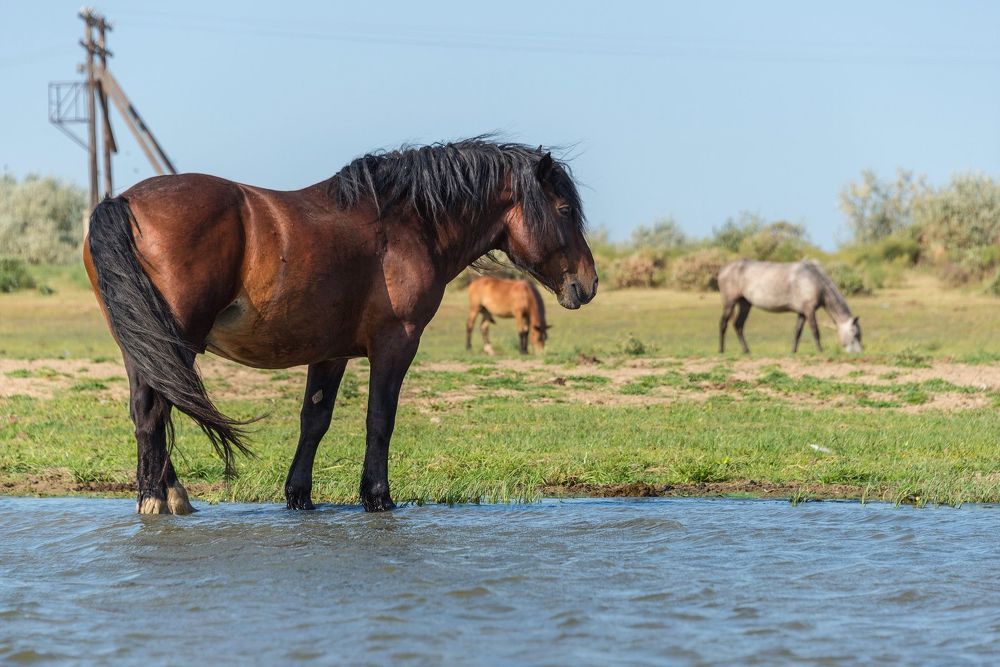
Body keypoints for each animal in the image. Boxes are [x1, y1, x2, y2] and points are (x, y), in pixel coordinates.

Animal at [83, 138, 598, 514]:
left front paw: (299, 496)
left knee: (149, 409)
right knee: (155, 412)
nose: (588, 284)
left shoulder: (329, 353)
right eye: (565, 211)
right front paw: (378, 497)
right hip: (175, 340)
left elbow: (315, 421)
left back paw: (172, 495)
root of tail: (122, 202)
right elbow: (380, 419)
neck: (407, 224)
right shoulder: (396, 343)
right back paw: (154, 499)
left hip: (145, 344)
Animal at [717, 259, 862, 354]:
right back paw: (721, 350)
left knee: (738, 325)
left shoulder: (802, 313)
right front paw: (820, 350)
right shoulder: (809, 310)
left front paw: (793, 351)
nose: (858, 353)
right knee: (723, 324)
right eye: (854, 333)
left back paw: (746, 350)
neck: (814, 279)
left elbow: (797, 332)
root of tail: (723, 270)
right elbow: (815, 330)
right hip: (729, 303)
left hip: (745, 304)